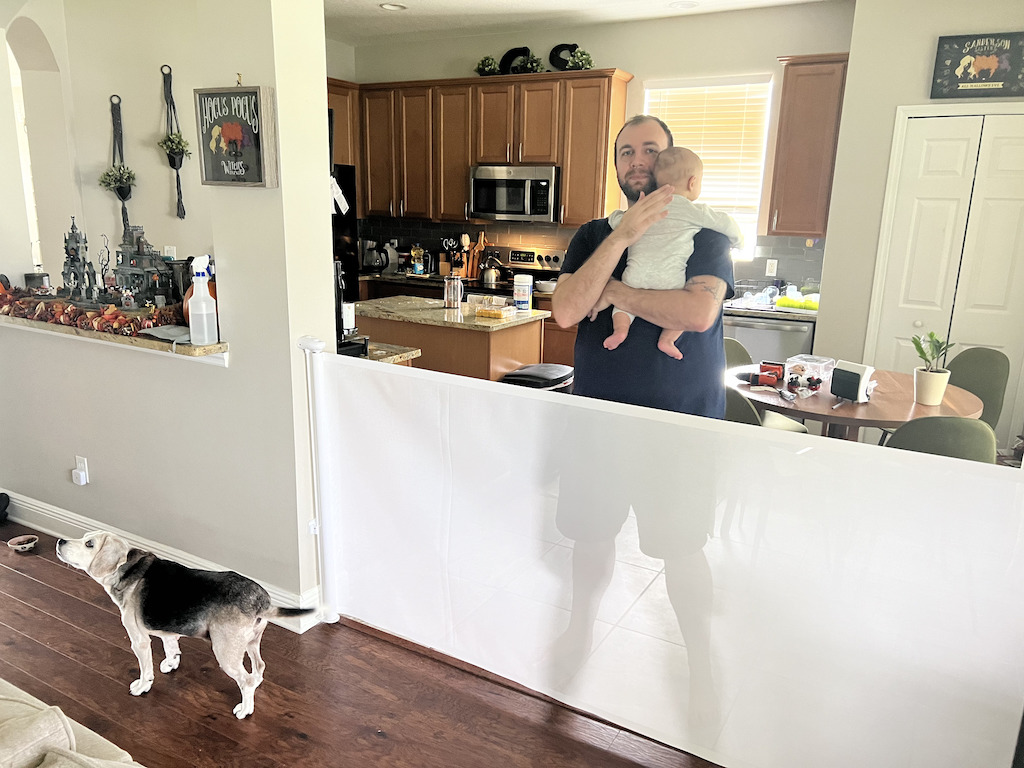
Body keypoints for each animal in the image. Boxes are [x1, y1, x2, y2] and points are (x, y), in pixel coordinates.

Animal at [55, 532, 311, 720]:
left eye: (89, 544)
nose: (60, 541)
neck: (128, 570)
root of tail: (262, 602)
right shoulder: (168, 632)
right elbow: (171, 648)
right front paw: (171, 663)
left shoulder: (139, 640)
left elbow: (145, 669)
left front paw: (142, 686)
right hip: (251, 642)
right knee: (258, 667)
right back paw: (255, 685)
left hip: (225, 652)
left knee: (245, 680)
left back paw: (245, 709)